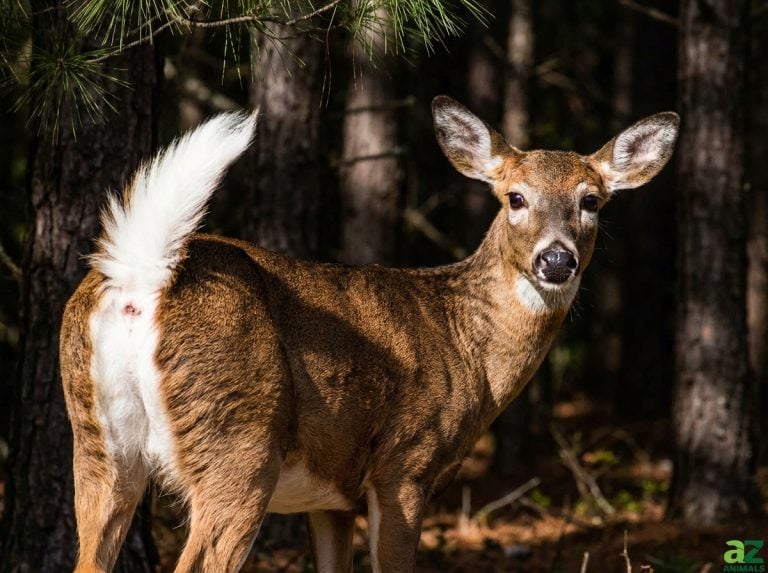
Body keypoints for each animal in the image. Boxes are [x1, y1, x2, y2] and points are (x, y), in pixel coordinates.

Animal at [60, 96, 679, 572]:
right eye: (515, 197)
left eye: (591, 200)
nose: (556, 260)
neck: (468, 344)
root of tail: (144, 273)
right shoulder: (406, 463)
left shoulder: (332, 496)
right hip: (238, 437)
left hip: (96, 439)